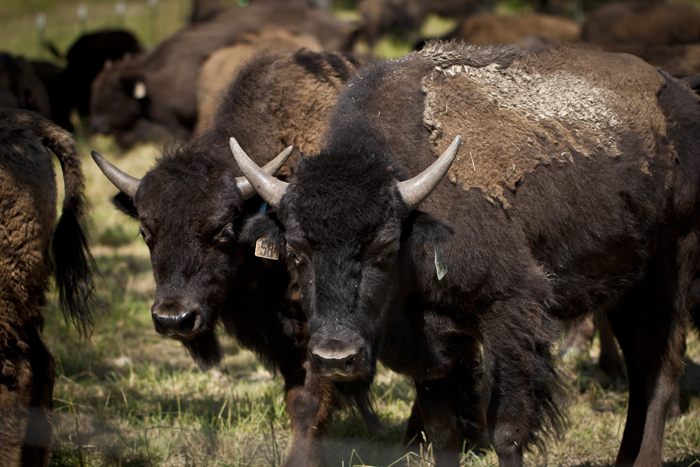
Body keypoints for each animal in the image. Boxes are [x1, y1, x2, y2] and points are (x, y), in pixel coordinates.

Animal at [92, 48, 364, 467]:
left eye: (222, 230)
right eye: (145, 233)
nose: (174, 319)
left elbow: (310, 400)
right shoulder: (281, 335)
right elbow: (297, 396)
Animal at [235, 41, 700, 467]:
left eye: (384, 248)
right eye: (297, 251)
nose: (335, 358)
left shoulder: (511, 313)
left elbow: (506, 429)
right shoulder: (433, 346)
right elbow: (442, 431)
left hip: (672, 264)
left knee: (661, 367)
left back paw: (647, 459)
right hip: (626, 287)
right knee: (639, 368)